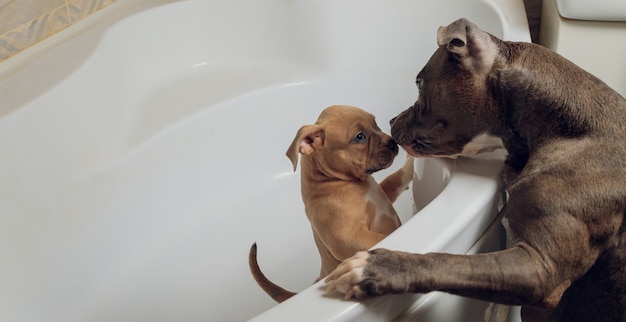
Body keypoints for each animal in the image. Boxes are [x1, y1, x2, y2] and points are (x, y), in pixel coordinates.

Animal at [249, 105, 414, 302]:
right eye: (360, 137)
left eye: (375, 123)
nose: (393, 142)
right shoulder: (347, 237)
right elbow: (383, 237)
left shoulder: (384, 193)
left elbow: (396, 178)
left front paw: (412, 161)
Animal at [324, 18, 624, 320]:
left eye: (419, 85)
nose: (391, 119)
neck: (564, 130)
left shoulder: (542, 268)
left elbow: (452, 263)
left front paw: (375, 268)